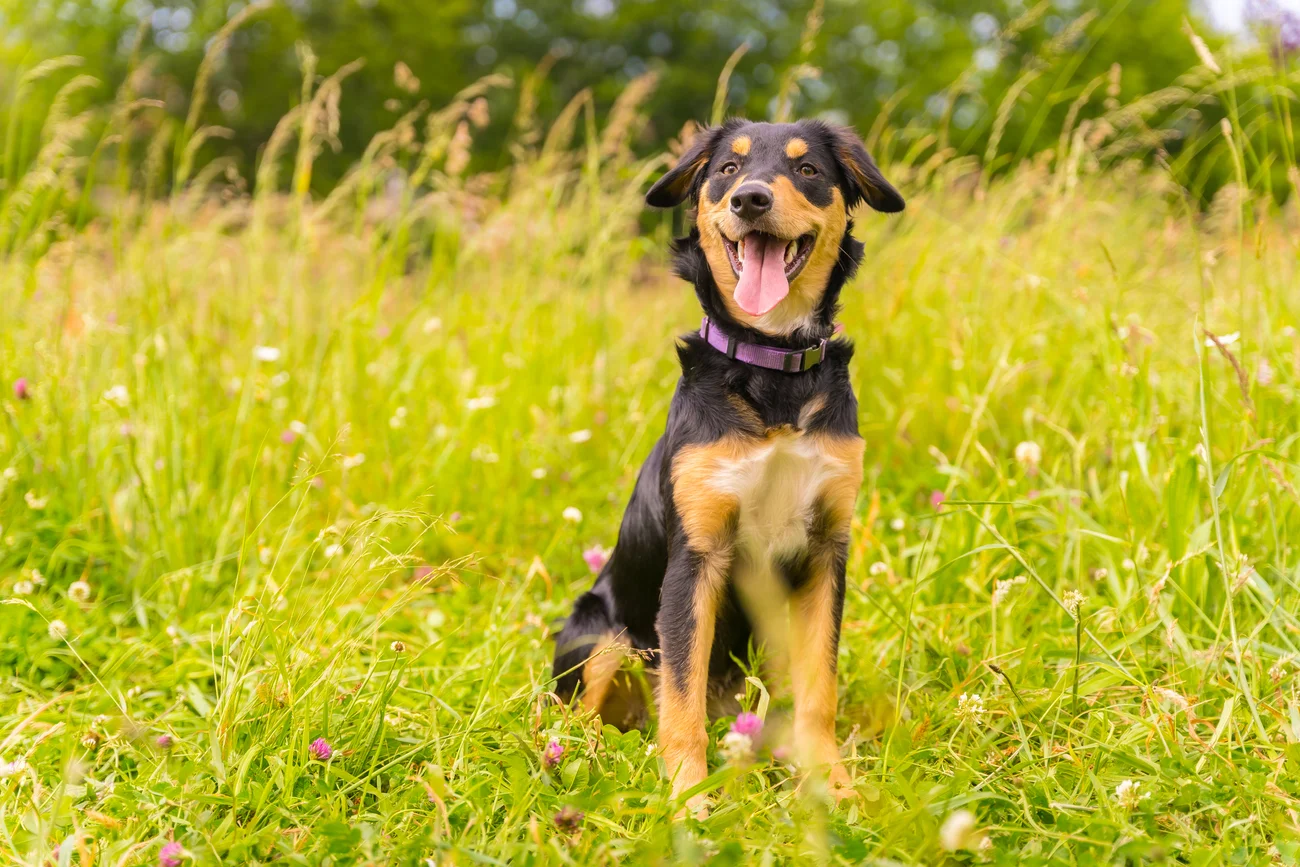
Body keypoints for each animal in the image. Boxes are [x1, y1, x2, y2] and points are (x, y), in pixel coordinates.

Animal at [551, 118, 904, 811]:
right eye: (726, 170)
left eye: (808, 170)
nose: (751, 200)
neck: (773, 370)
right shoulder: (697, 556)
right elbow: (682, 698)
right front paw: (688, 797)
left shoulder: (826, 553)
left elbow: (819, 691)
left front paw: (833, 785)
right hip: (600, 632)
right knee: (578, 717)